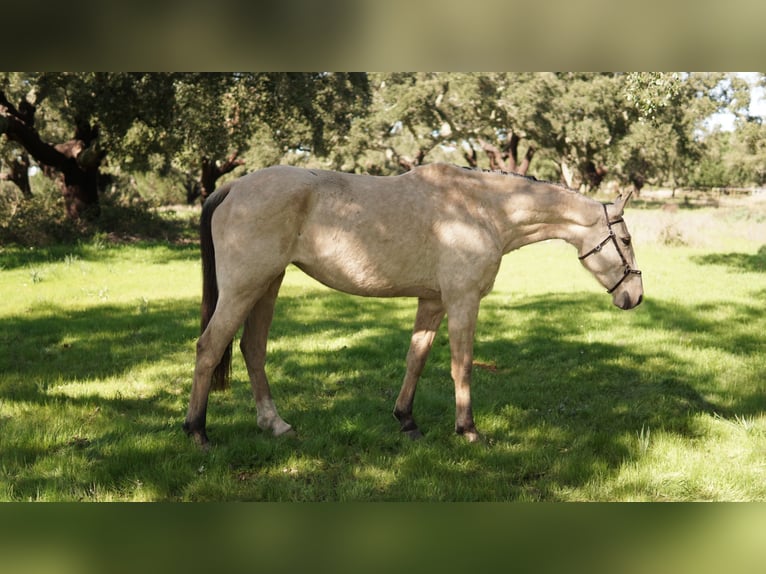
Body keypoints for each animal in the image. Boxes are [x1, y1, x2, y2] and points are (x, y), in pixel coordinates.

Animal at [183, 163, 643, 447]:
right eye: (626, 239)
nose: (635, 297)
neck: (481, 209)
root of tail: (233, 187)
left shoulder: (433, 302)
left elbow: (415, 359)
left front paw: (407, 421)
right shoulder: (462, 300)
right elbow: (462, 364)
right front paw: (468, 430)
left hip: (267, 285)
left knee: (252, 349)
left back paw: (275, 424)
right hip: (245, 287)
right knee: (209, 347)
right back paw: (197, 432)